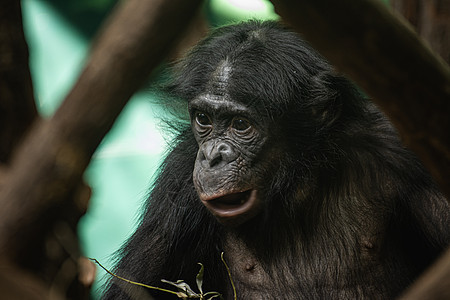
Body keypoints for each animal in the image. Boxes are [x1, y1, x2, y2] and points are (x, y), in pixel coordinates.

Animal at [103, 21, 450, 300]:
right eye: (203, 119)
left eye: (240, 125)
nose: (213, 156)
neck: (298, 185)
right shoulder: (176, 186)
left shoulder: (403, 153)